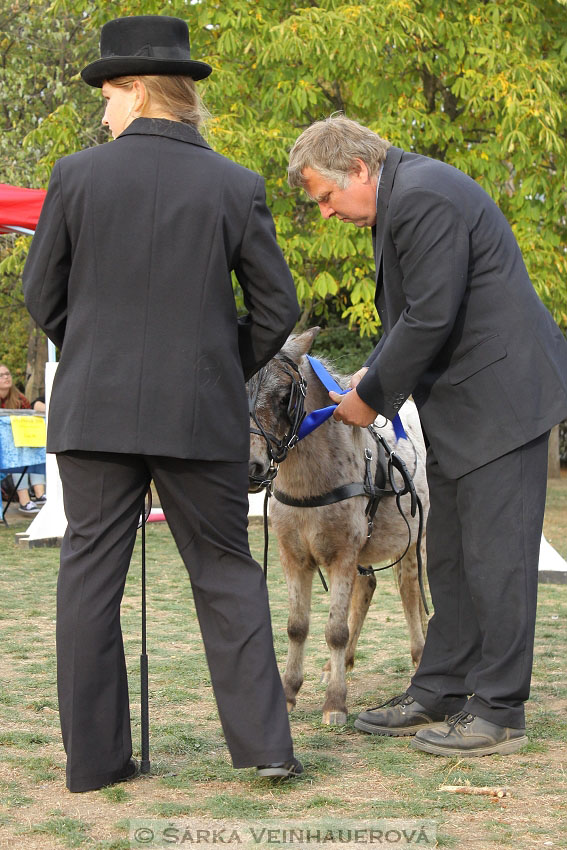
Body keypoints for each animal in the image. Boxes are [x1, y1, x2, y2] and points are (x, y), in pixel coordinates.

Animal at [250, 326, 430, 724]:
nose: (252, 466)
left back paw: (419, 658)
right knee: (369, 589)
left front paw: (335, 704)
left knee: (411, 593)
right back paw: (339, 665)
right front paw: (290, 692)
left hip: (415, 544)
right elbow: (297, 626)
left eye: (285, 396)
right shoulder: (294, 557)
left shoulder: (342, 555)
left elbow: (335, 629)